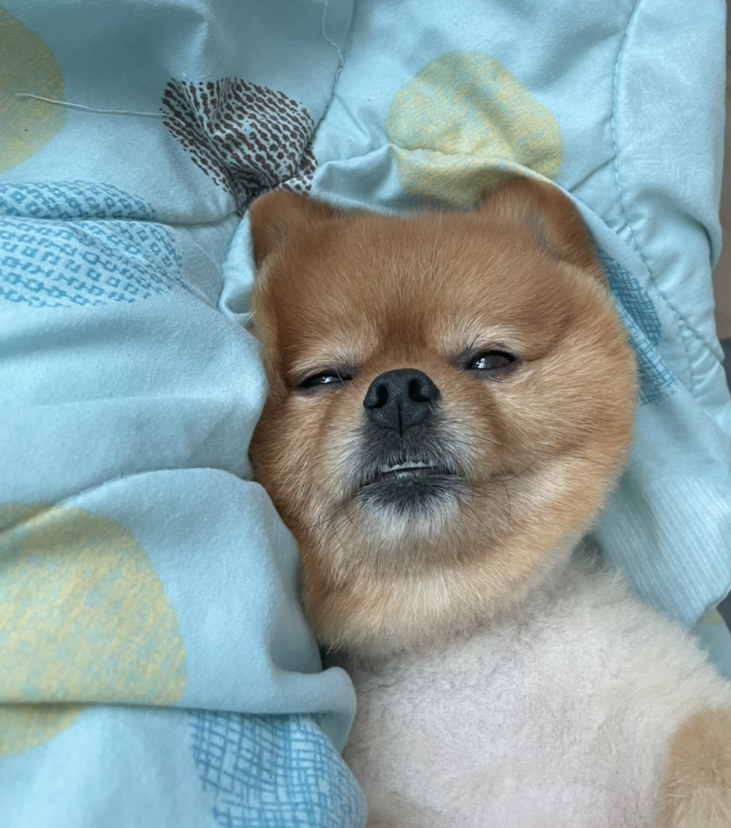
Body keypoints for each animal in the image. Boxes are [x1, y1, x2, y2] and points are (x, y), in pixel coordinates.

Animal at [248, 179, 731, 827]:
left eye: (489, 360)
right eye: (324, 379)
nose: (397, 390)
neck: (465, 645)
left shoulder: (684, 715)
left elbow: (707, 758)